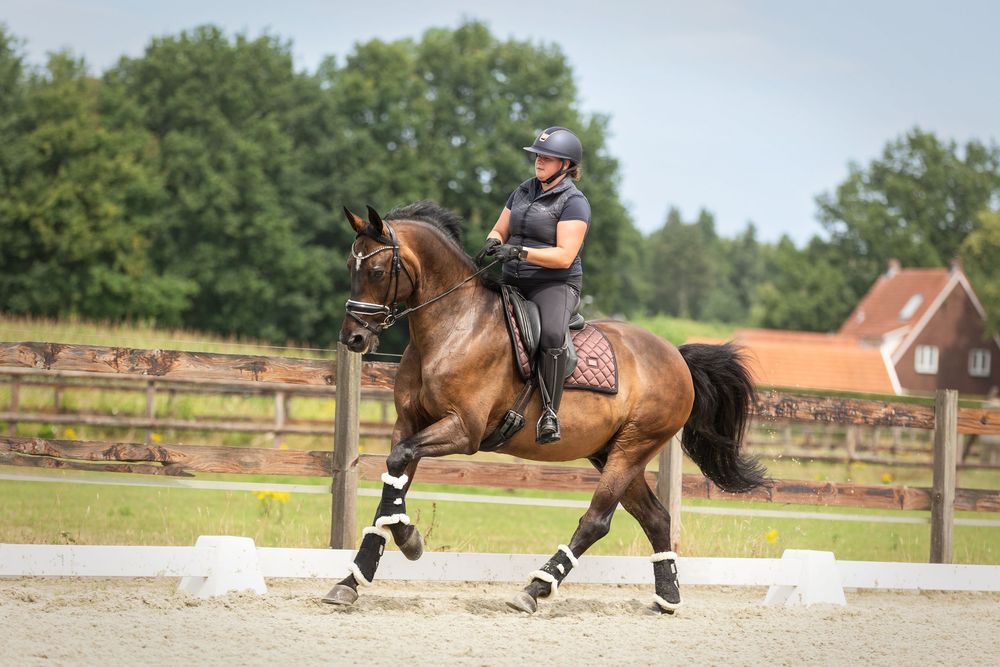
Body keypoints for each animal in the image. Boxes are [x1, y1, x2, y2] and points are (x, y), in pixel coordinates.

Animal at [325, 201, 767, 614]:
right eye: (349, 265)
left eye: (376, 271)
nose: (353, 338)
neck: (455, 326)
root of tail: (676, 356)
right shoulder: (410, 424)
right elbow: (392, 481)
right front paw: (354, 578)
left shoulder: (463, 430)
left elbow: (399, 464)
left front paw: (410, 541)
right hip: (610, 452)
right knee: (656, 517)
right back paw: (667, 598)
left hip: (633, 447)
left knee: (596, 520)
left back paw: (535, 589)